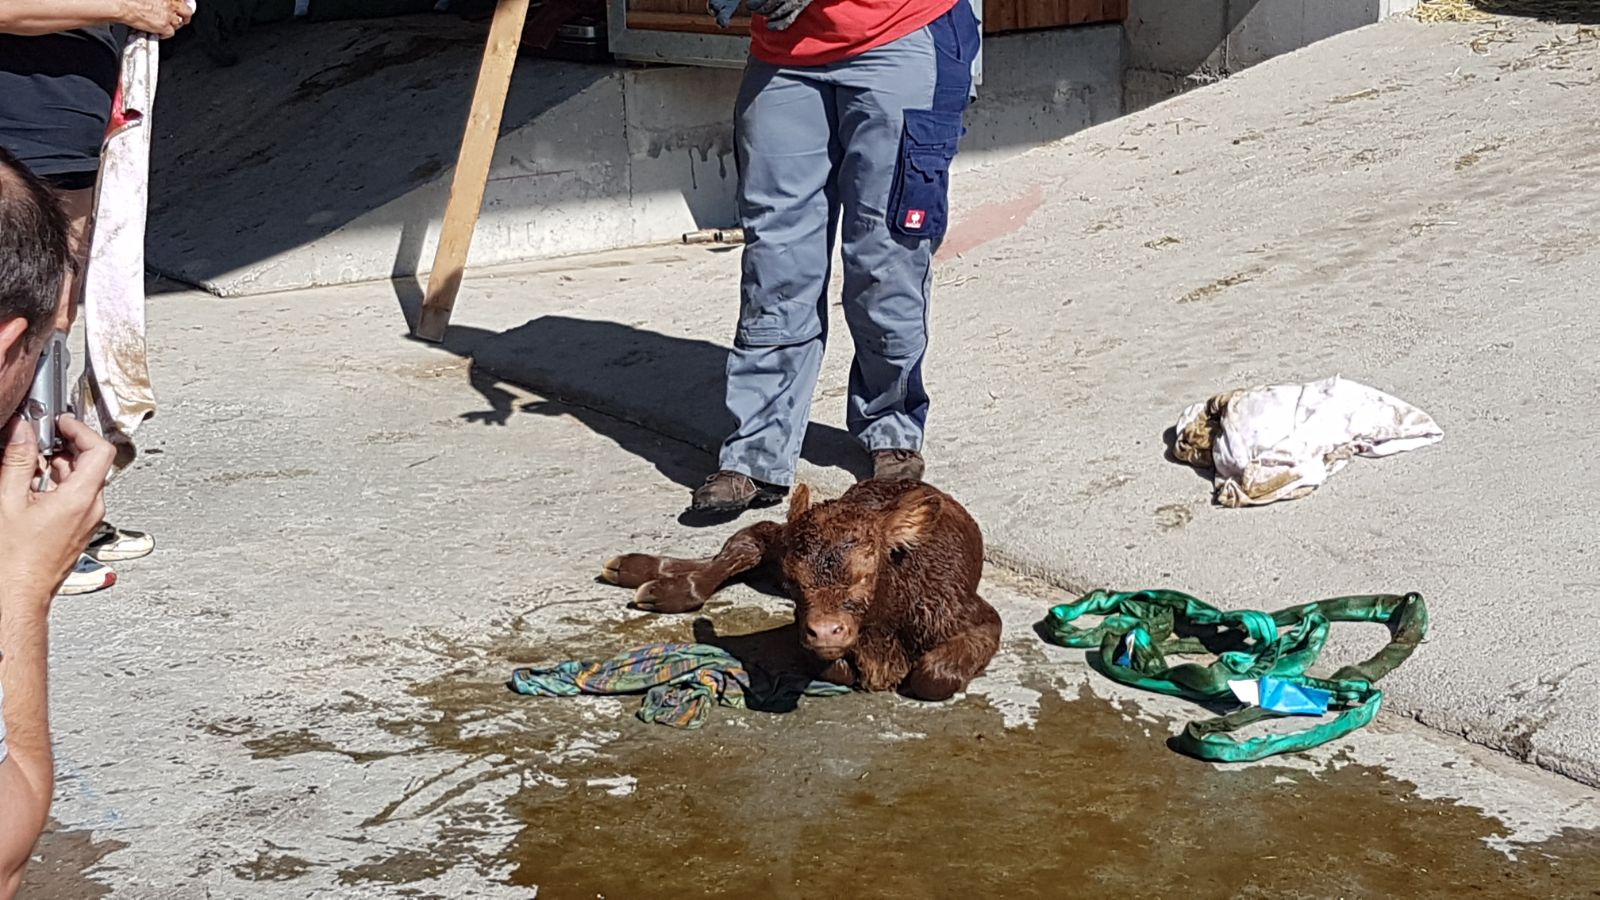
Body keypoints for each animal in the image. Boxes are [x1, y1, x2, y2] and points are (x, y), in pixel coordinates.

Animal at [600, 479, 1001, 701]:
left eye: (865, 575)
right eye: (794, 581)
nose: (825, 631)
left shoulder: (972, 615)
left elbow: (932, 676)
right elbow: (836, 668)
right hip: (779, 540)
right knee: (754, 537)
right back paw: (650, 576)